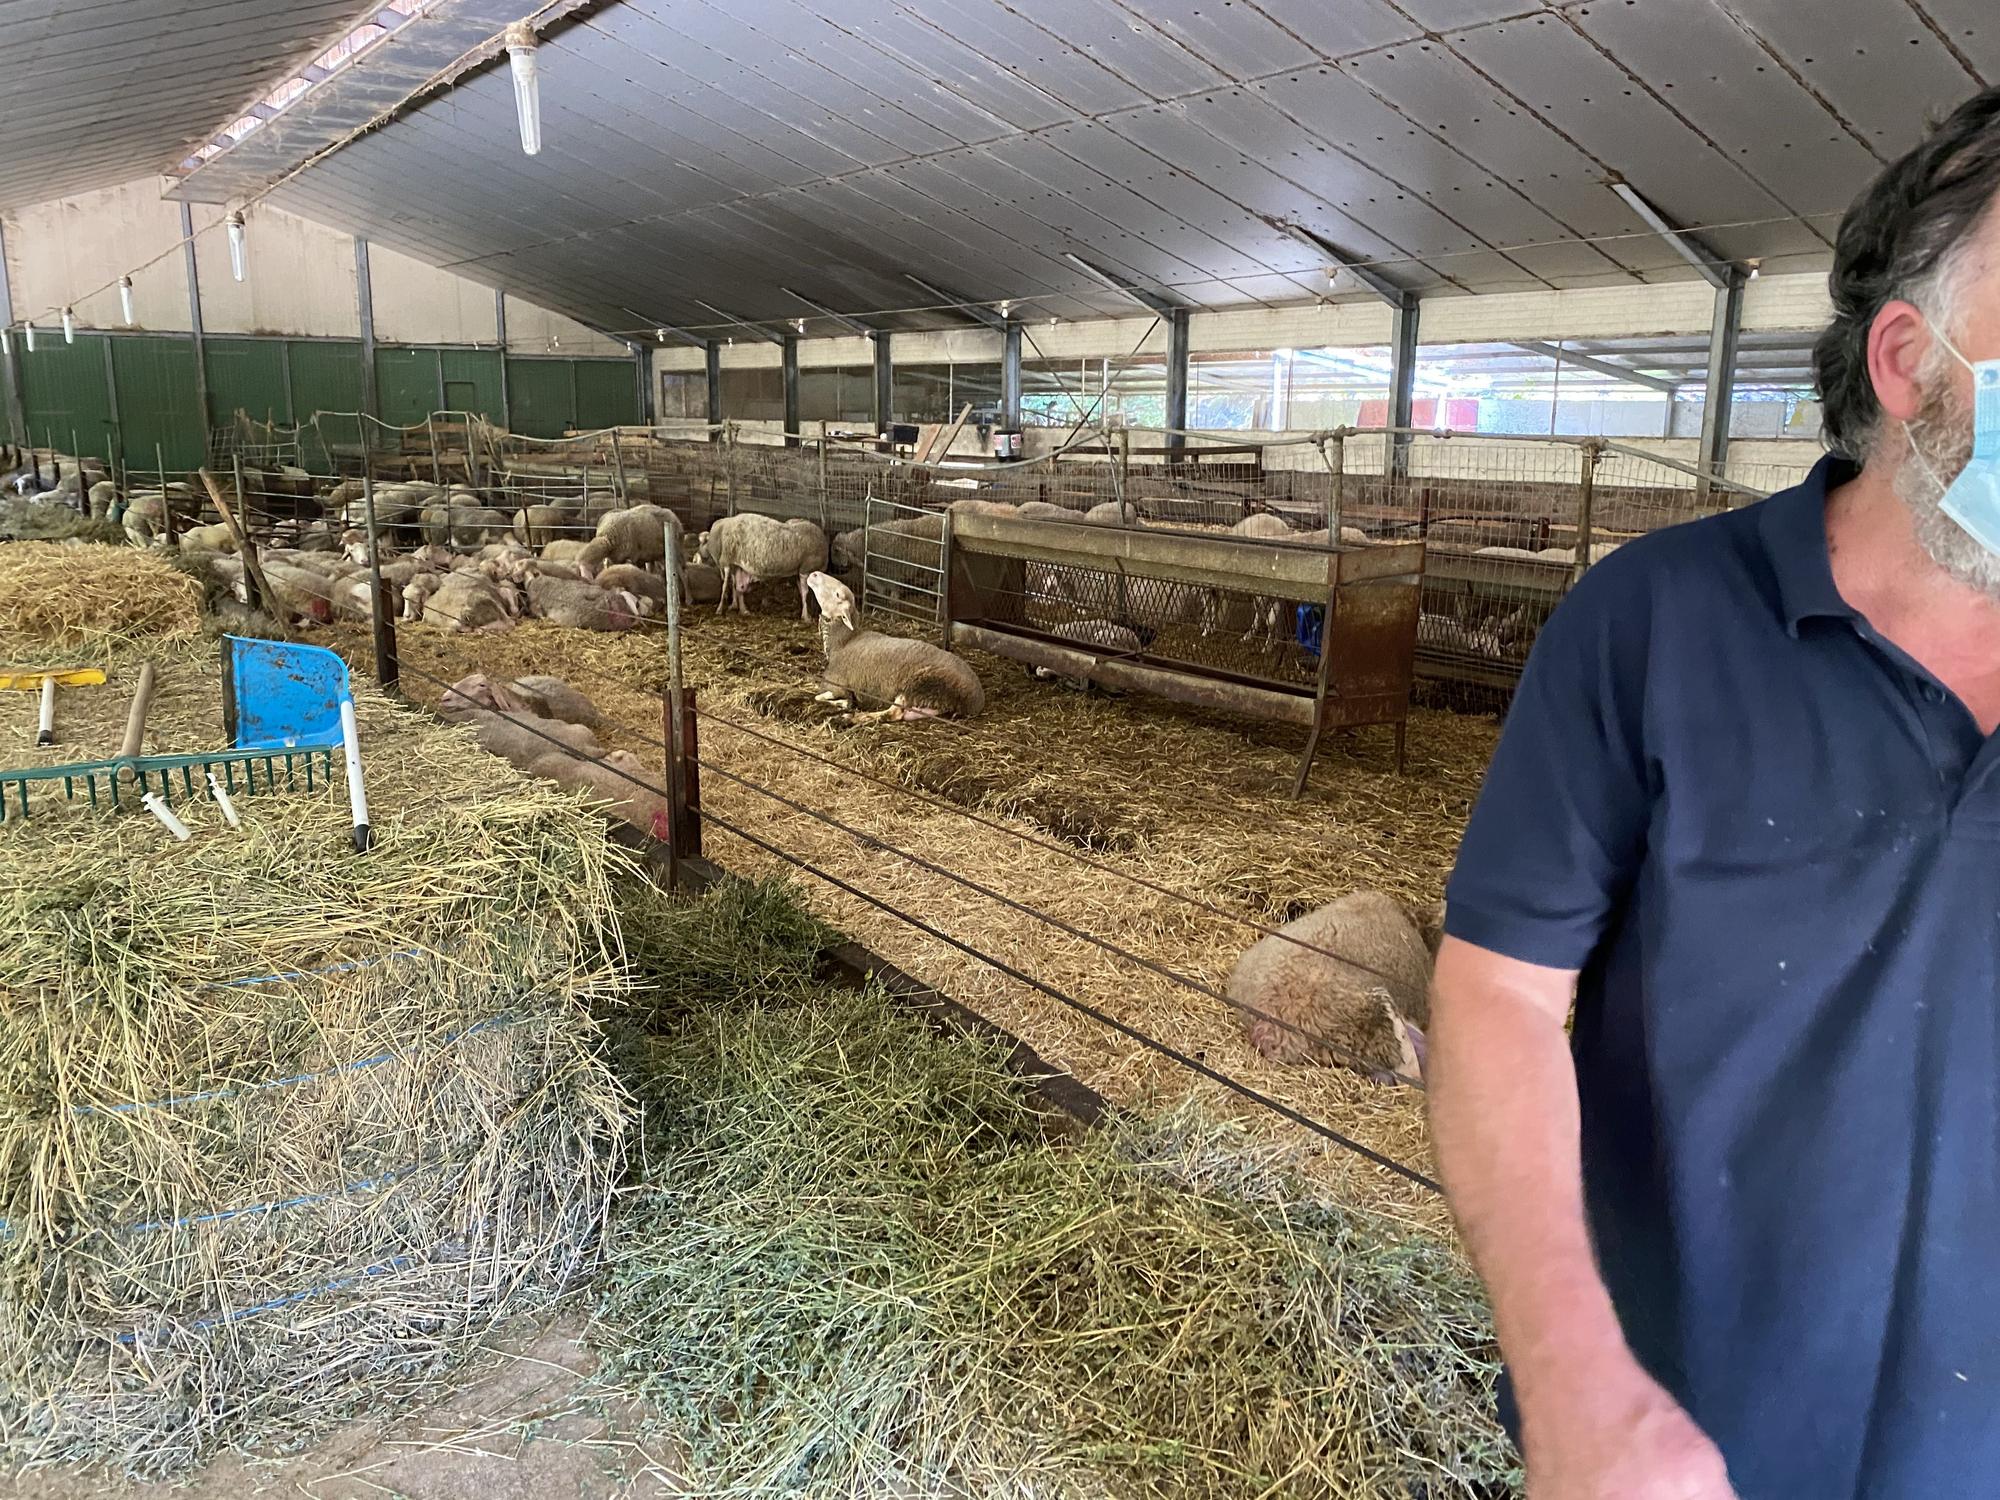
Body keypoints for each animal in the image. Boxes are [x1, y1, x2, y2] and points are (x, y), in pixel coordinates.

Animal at [800, 568, 980, 724]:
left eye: (837, 594)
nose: (814, 574)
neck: (843, 642)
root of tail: (974, 700)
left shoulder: (835, 684)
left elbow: (822, 696)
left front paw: (844, 705)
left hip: (919, 685)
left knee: (894, 714)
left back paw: (853, 717)